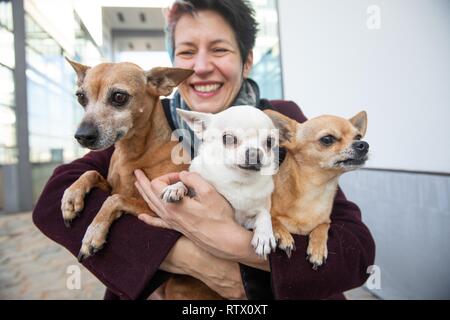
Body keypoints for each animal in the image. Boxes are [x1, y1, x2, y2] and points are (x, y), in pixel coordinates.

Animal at [162, 106, 280, 258]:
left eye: (270, 142)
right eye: (228, 138)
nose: (255, 152)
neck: (238, 180)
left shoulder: (245, 221)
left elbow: (264, 214)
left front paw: (264, 235)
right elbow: (185, 181)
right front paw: (175, 188)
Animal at [266, 109, 368, 268]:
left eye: (358, 136)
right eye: (327, 139)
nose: (363, 144)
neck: (315, 190)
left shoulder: (326, 221)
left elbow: (322, 227)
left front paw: (318, 249)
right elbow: (272, 219)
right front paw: (282, 235)